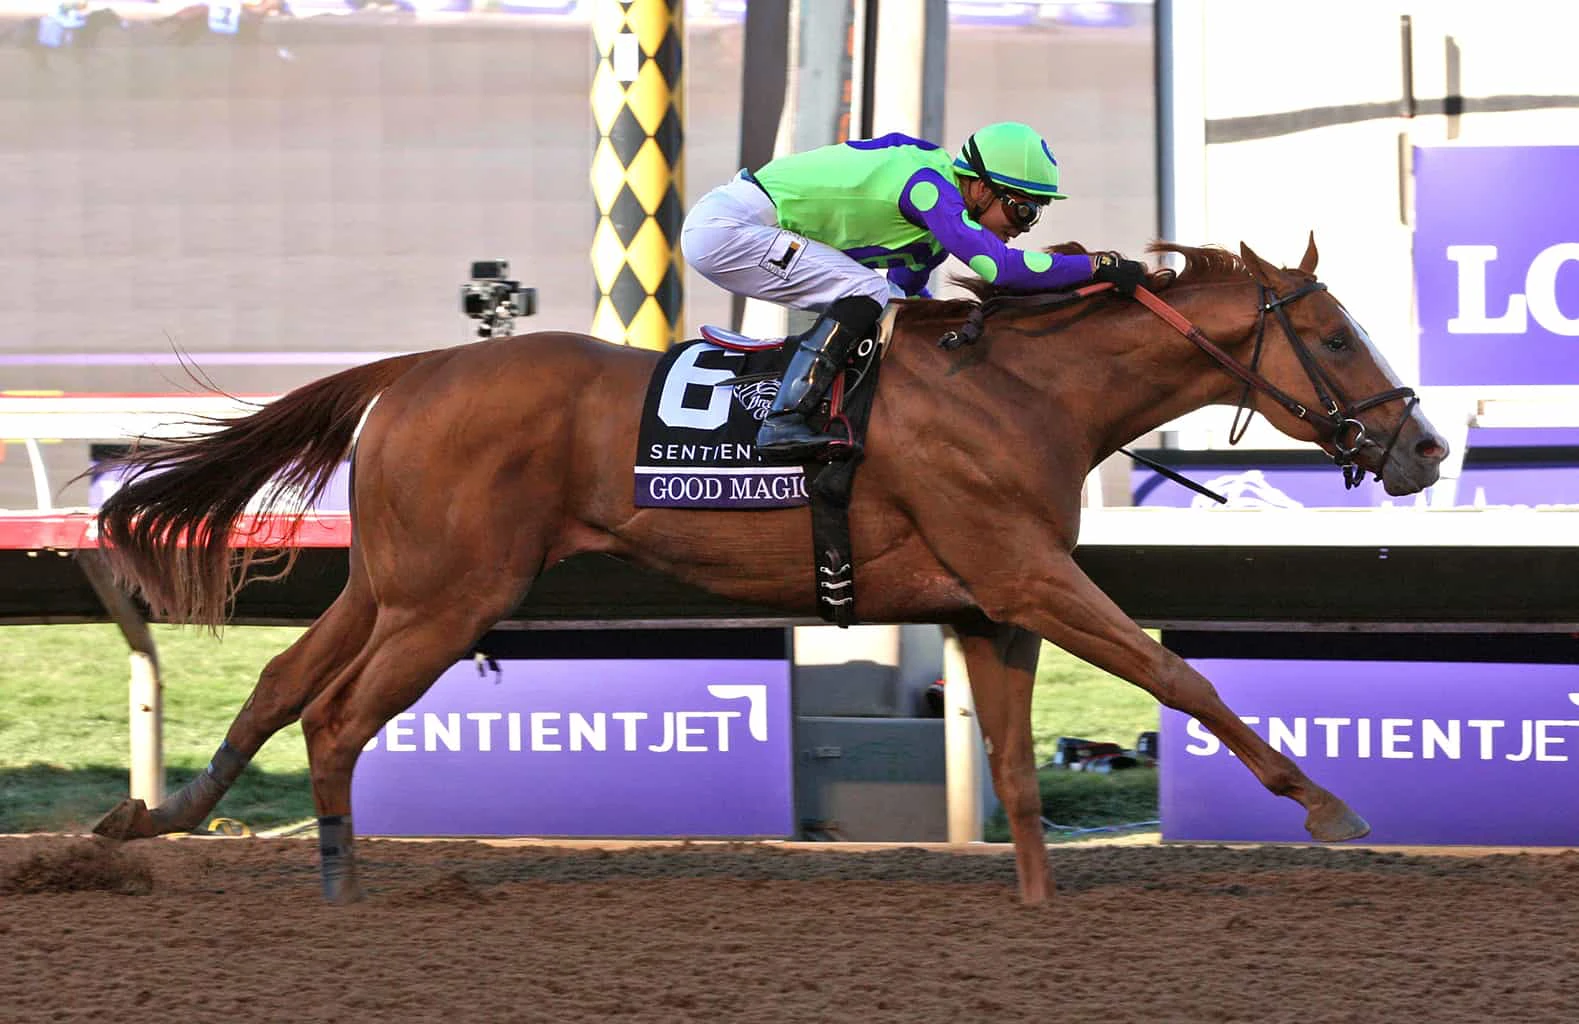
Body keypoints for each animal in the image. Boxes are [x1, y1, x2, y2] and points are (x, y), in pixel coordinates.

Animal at [90, 236, 1448, 905]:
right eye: (1334, 335)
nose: (1424, 446)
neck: (1023, 388)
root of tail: (415, 367)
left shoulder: (987, 607)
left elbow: (1014, 767)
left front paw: (1036, 913)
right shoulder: (1025, 578)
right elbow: (1185, 679)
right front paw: (1328, 805)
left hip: (393, 580)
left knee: (281, 682)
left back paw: (159, 814)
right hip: (451, 598)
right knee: (335, 718)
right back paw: (336, 884)